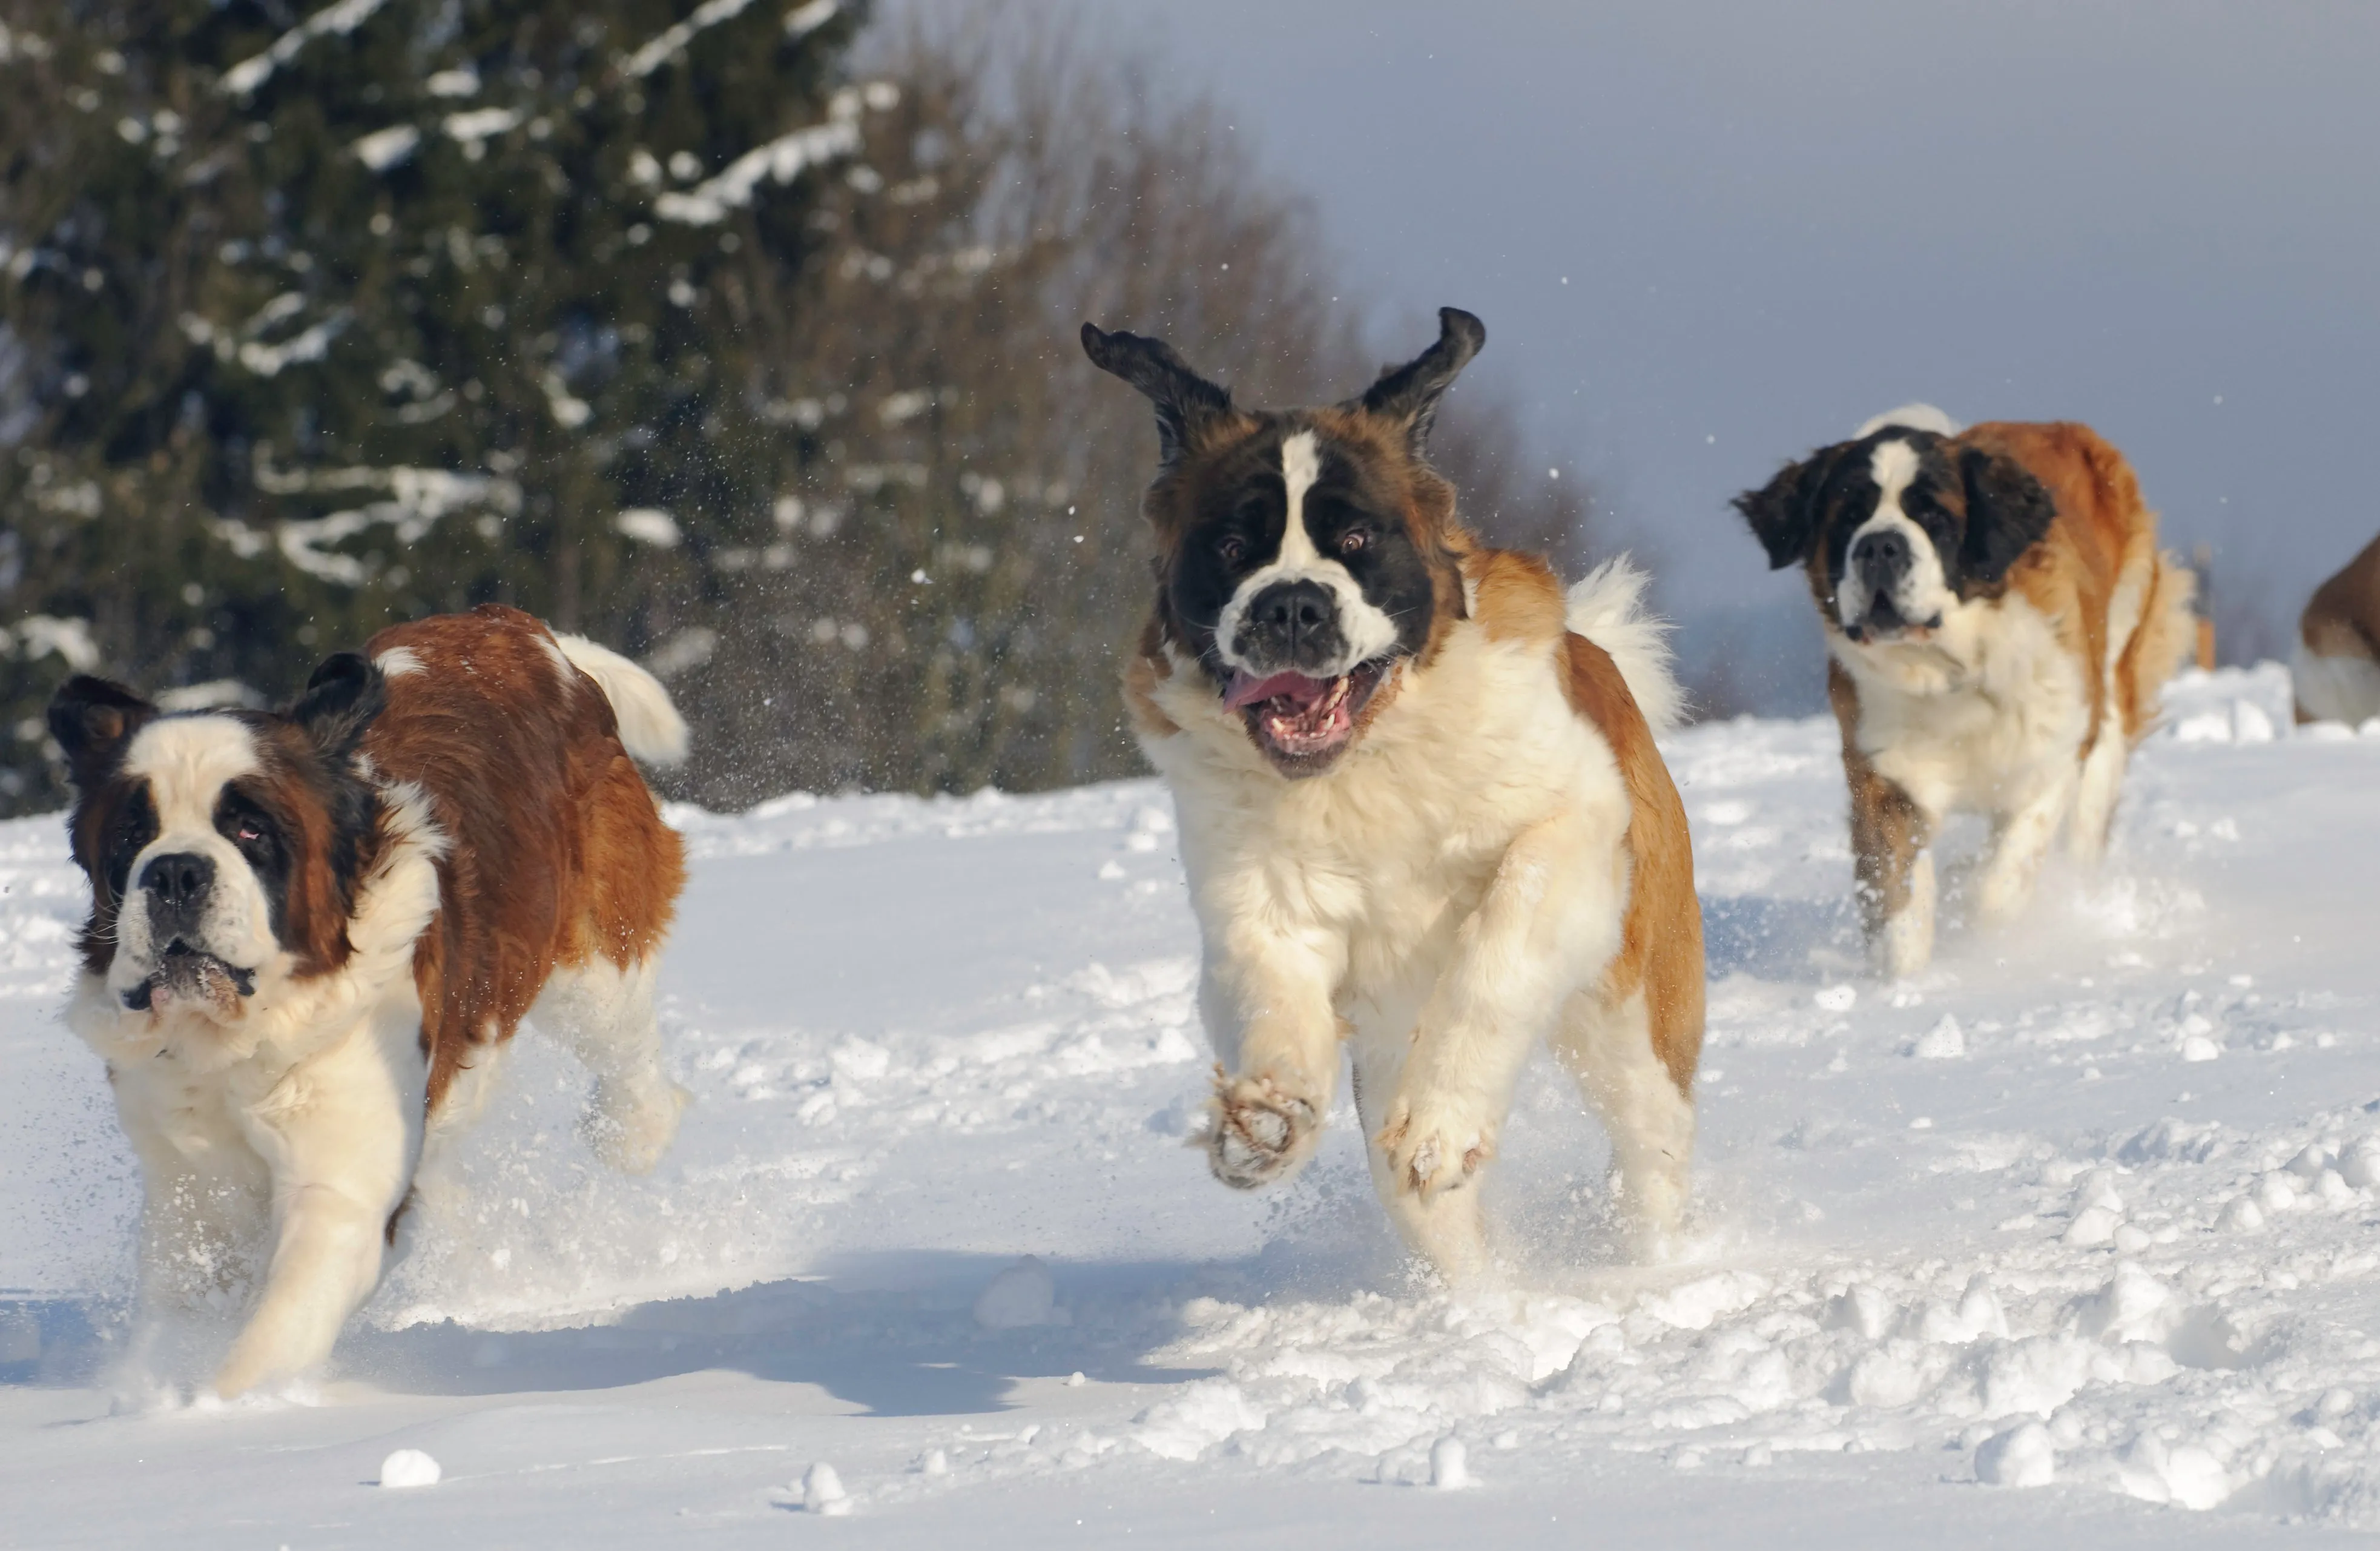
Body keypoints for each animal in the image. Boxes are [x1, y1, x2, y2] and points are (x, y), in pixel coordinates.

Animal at [48, 610, 690, 1410]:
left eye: (251, 829)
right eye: (133, 834)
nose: (174, 872)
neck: (239, 1042)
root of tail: (519, 626)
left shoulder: (337, 1190)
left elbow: (271, 1330)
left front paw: (210, 1412)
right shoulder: (194, 1193)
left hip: (594, 952)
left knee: (627, 1048)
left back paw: (632, 1132)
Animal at [1080, 307, 1713, 1277]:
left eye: (1354, 542)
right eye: (1231, 547)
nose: (1290, 606)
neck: (1365, 757)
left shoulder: (1574, 825)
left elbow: (1499, 945)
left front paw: (1444, 1121)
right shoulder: (1253, 902)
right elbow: (1267, 988)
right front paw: (1265, 1119)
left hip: (1633, 1016)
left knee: (1648, 1152)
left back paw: (1645, 1267)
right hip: (1388, 1069)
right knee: (1431, 1220)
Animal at [1732, 407, 2189, 976]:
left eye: (1933, 516)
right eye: (1848, 516)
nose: (1879, 545)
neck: (1946, 668)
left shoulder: (2051, 753)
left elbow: (1998, 886)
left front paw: (1977, 931)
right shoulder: (1885, 777)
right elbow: (1898, 894)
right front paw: (1902, 979)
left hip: (2113, 680)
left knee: (2087, 813)